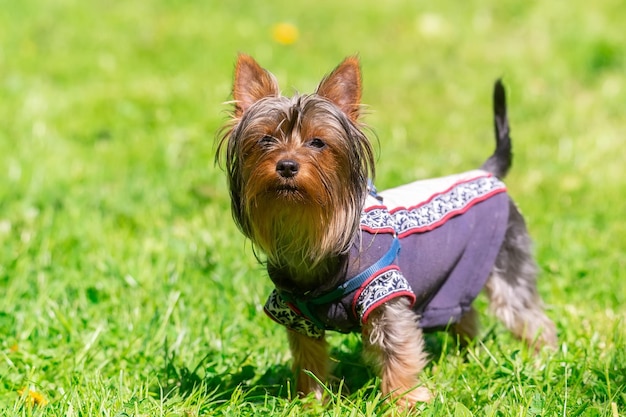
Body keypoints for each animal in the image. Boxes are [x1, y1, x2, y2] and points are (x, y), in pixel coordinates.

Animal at [216, 54, 556, 406]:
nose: (286, 165)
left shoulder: (385, 295)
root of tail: (486, 172)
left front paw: (403, 401)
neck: (311, 231)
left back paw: (541, 361)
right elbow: (309, 359)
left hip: (506, 261)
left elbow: (398, 352)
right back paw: (465, 357)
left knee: (527, 315)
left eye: (318, 142)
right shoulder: (295, 314)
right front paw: (311, 402)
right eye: (266, 139)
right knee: (464, 314)